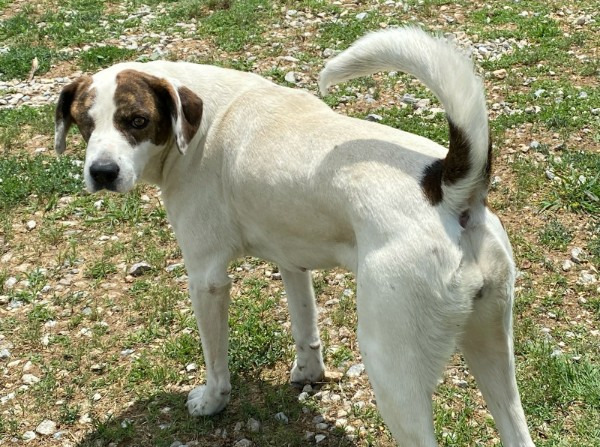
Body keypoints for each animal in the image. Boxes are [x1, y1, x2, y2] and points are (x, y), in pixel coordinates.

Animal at [55, 26, 536, 446]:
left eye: (136, 120)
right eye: (83, 123)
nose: (101, 172)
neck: (201, 123)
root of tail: (445, 186)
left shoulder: (206, 279)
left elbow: (216, 363)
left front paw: (210, 403)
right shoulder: (291, 259)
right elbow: (305, 326)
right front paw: (308, 374)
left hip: (392, 367)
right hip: (492, 348)